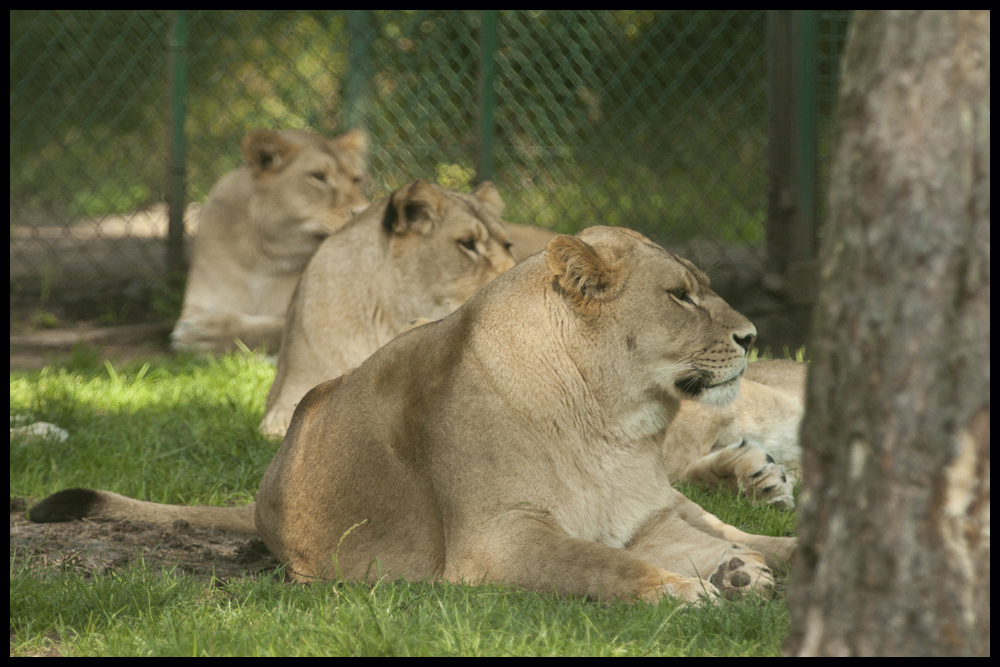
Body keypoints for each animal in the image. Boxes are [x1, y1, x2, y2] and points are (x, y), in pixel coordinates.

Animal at [31, 228, 792, 604]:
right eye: (680, 296)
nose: (754, 335)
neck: (611, 423)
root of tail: (264, 493)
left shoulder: (648, 517)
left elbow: (661, 544)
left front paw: (734, 574)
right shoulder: (496, 540)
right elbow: (599, 562)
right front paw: (686, 590)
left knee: (743, 527)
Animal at [170, 127, 370, 352]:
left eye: (356, 179)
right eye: (318, 177)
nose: (365, 211)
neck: (264, 258)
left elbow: (268, 329)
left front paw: (204, 335)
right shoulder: (199, 303)